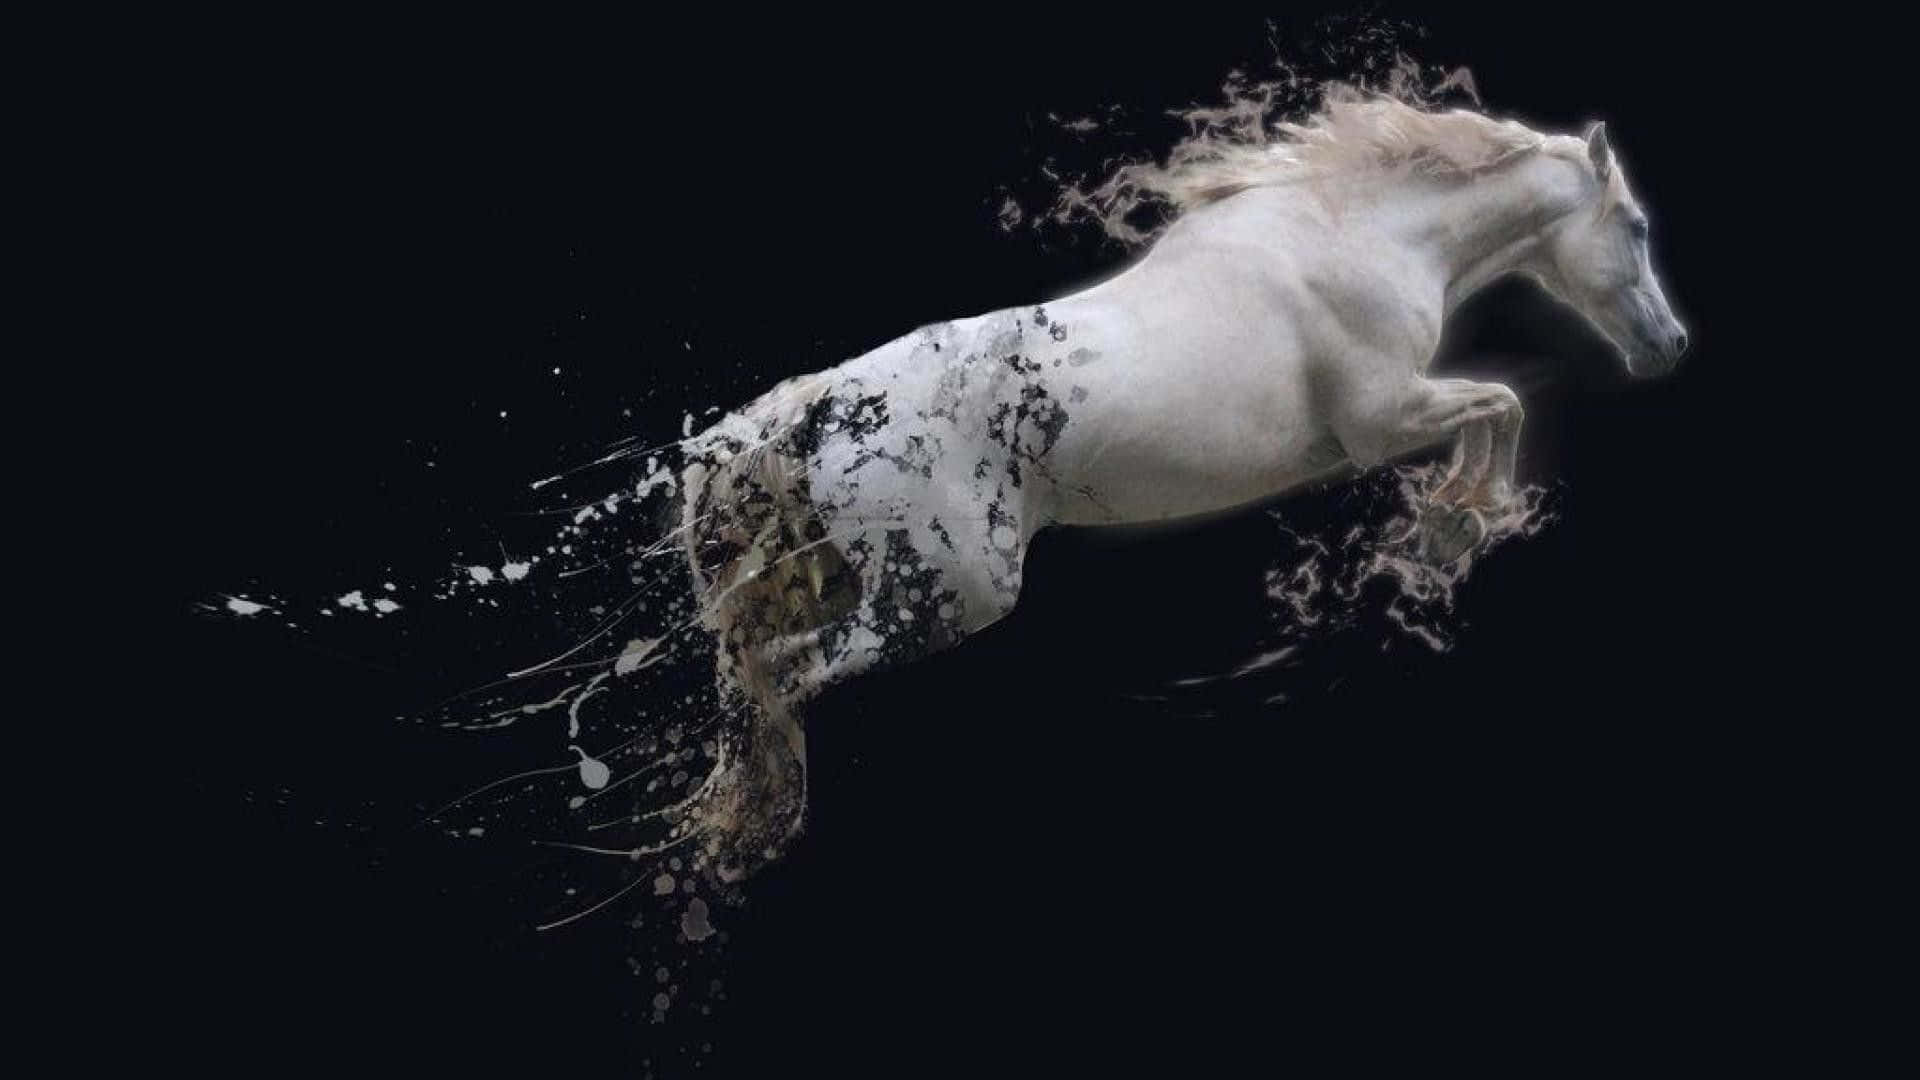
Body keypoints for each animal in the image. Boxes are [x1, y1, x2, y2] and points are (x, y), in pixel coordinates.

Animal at [674, 96, 1687, 876]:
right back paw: (764, 826)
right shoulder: (1384, 419)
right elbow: (1504, 404)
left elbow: (1497, 408)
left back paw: (738, 828)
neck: (1355, 233)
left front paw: (1452, 528)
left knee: (749, 669)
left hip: (868, 585)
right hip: (945, 598)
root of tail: (824, 409)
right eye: (1637, 228)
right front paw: (1460, 525)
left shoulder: (1399, 413)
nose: (1670, 345)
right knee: (783, 671)